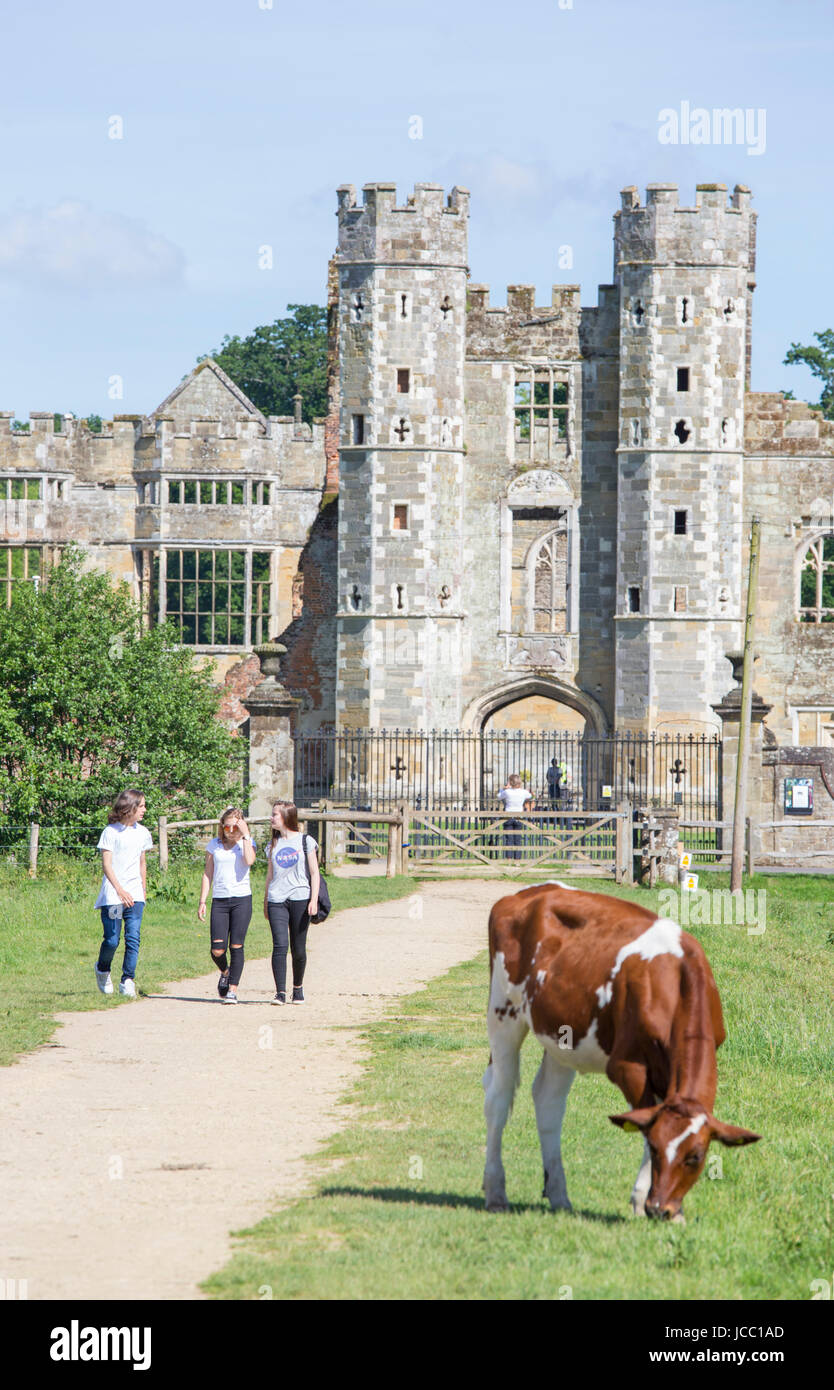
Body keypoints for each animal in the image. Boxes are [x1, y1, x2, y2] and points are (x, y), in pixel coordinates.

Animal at [480, 884, 761, 1223]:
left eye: (695, 1157)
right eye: (656, 1149)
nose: (661, 1209)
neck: (676, 984)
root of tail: (529, 892)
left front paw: (675, 1211)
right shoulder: (628, 1067)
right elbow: (642, 1123)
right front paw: (641, 1200)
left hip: (562, 1034)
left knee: (548, 1099)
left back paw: (559, 1196)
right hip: (503, 1012)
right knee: (498, 1097)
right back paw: (496, 1192)